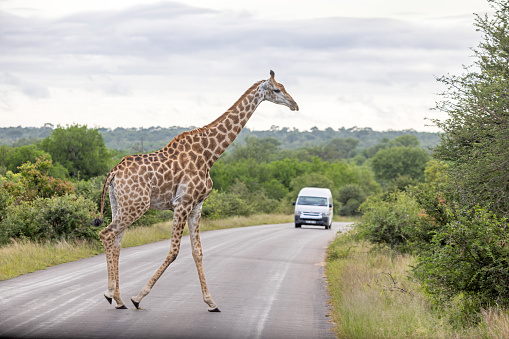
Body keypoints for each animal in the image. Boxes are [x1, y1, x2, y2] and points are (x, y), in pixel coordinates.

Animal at [94, 70, 298, 312]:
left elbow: (197, 252)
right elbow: (174, 251)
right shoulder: (182, 203)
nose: (295, 105)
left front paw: (211, 302)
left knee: (116, 241)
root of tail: (114, 172)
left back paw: (118, 299)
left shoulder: (196, 206)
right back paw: (111, 295)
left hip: (119, 204)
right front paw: (139, 297)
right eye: (277, 89)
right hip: (136, 205)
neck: (210, 154)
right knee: (106, 234)